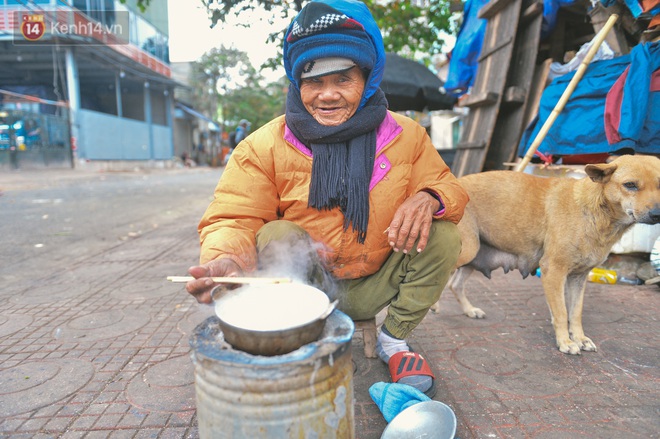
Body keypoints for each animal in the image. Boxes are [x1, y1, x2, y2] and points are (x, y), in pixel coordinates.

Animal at [430, 156, 660, 356]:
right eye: (630, 185)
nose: (657, 214)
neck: (593, 209)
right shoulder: (554, 271)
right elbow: (561, 312)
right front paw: (565, 342)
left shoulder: (578, 278)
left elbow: (575, 312)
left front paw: (580, 338)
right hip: (466, 249)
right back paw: (434, 305)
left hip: (474, 254)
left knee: (455, 284)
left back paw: (469, 310)